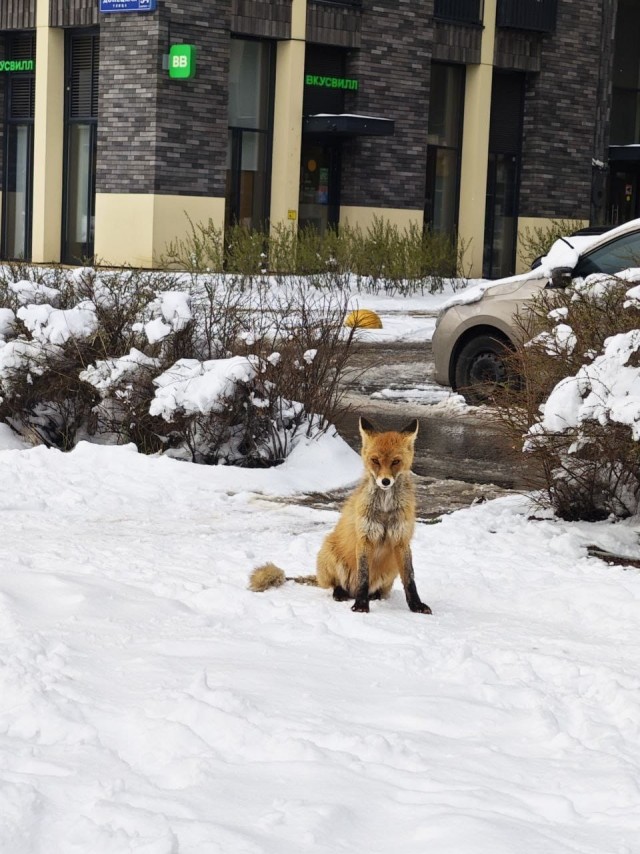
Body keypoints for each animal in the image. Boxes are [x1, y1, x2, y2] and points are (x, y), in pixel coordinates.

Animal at [248, 417, 432, 614]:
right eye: (375, 460)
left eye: (396, 461)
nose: (385, 481)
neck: (384, 507)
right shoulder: (364, 538)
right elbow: (363, 577)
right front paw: (361, 605)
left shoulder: (401, 540)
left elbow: (410, 579)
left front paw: (416, 605)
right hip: (329, 551)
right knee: (337, 585)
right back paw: (342, 594)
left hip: (390, 569)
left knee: (378, 590)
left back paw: (374, 596)